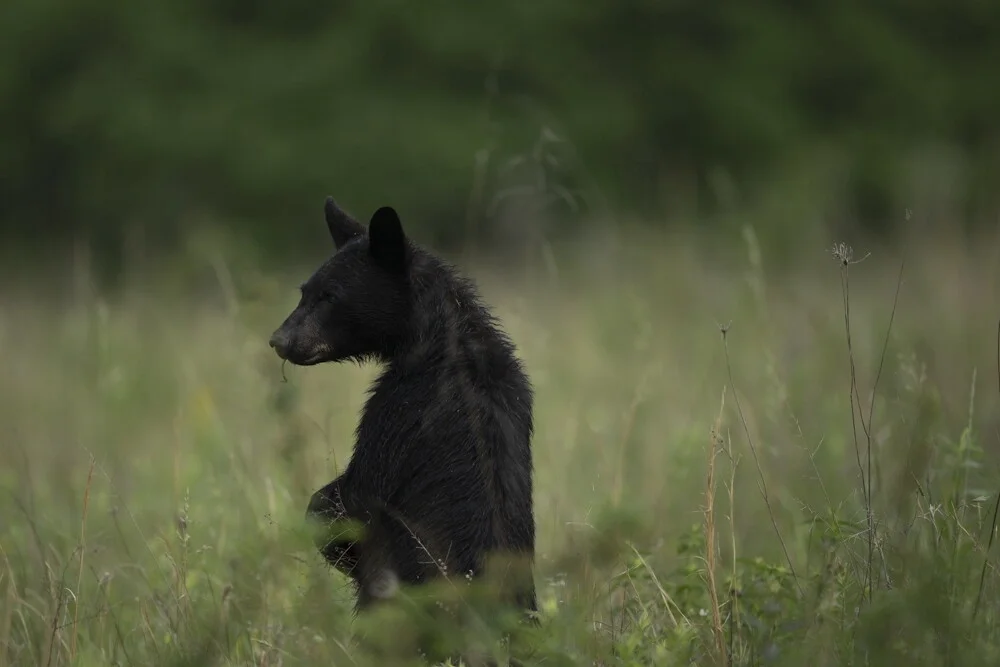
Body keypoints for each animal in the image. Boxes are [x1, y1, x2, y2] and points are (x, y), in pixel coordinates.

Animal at [268, 197, 537, 616]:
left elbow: (356, 491)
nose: (279, 340)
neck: (442, 337)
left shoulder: (399, 408)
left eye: (330, 296)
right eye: (304, 291)